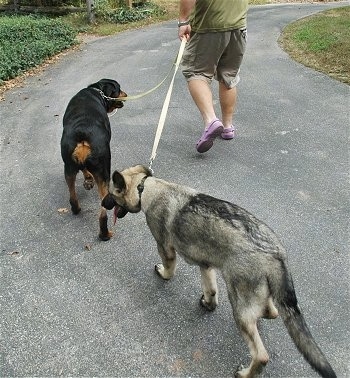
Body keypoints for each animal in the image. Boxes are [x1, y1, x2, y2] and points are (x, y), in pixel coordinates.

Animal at [61, 78, 127, 241]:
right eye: (119, 89)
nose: (126, 94)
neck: (98, 91)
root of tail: (82, 133)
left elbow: (84, 169)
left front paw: (88, 179)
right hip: (103, 169)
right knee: (103, 211)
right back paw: (105, 234)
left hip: (68, 167)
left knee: (72, 195)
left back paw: (76, 208)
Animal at [101, 165, 336, 378]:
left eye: (111, 194)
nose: (102, 203)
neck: (146, 187)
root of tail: (275, 253)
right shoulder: (206, 266)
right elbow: (211, 289)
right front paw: (208, 303)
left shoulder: (165, 248)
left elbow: (169, 268)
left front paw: (163, 274)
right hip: (257, 295)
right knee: (272, 312)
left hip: (239, 305)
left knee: (261, 355)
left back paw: (246, 373)